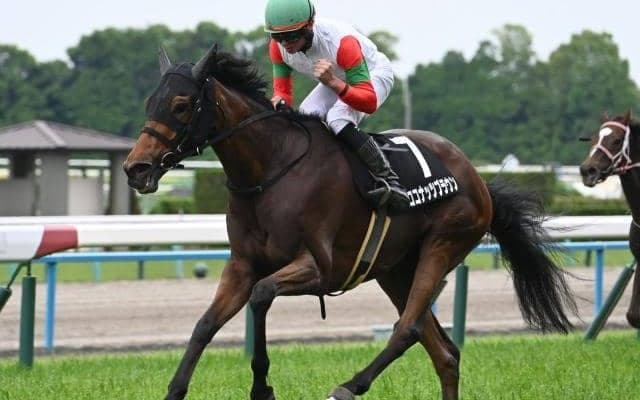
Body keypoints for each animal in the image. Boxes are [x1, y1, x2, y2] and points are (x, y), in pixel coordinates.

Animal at [123, 44, 577, 400]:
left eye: (181, 105)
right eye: (149, 103)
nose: (135, 169)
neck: (271, 170)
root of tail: (478, 180)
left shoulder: (319, 267)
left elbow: (261, 295)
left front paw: (262, 388)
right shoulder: (242, 265)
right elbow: (205, 324)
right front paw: (175, 390)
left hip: (443, 245)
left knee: (407, 329)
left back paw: (348, 386)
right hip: (394, 270)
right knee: (443, 352)